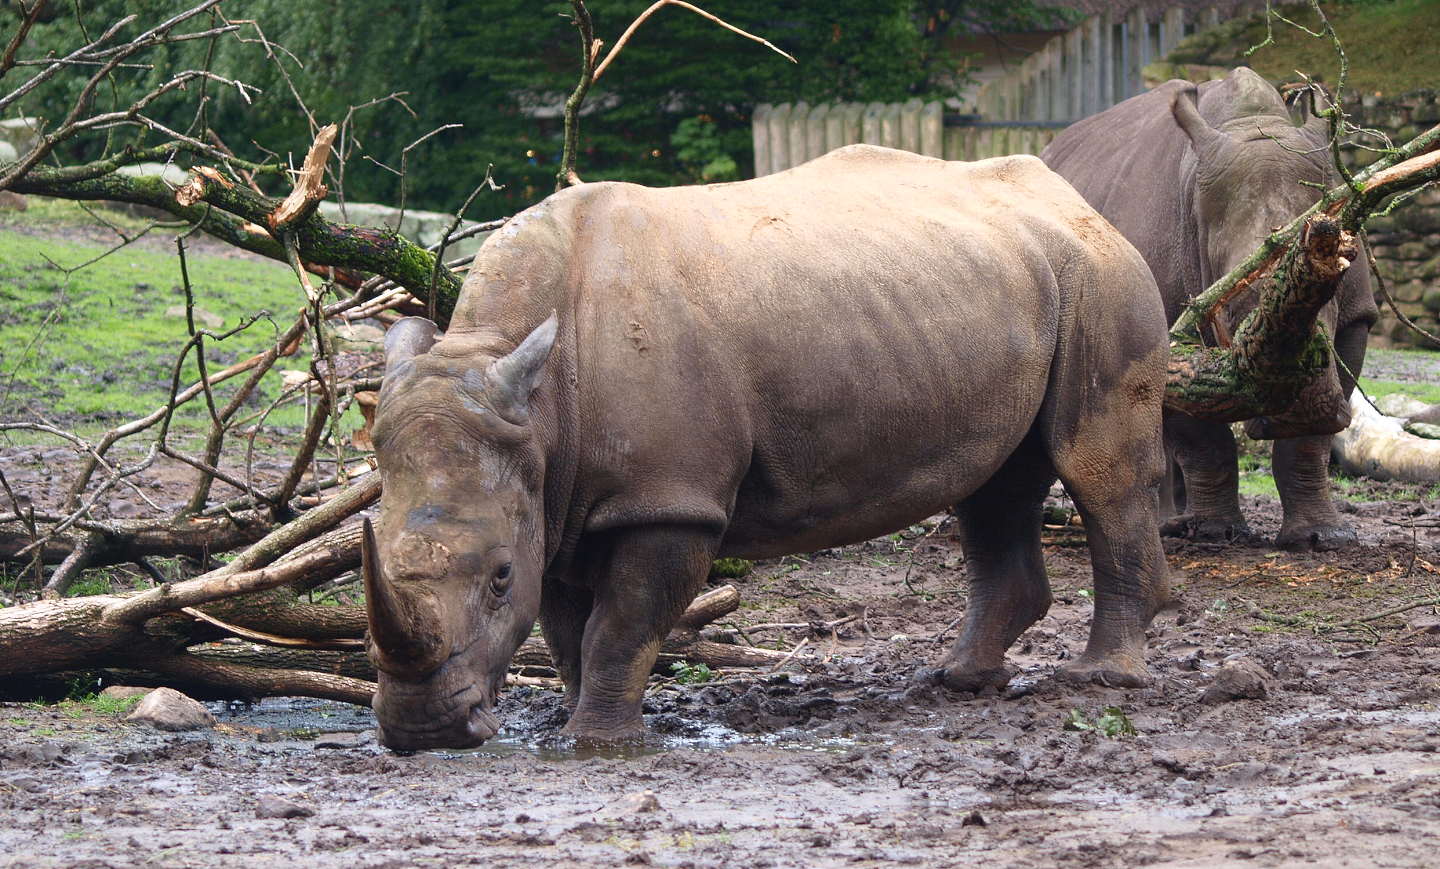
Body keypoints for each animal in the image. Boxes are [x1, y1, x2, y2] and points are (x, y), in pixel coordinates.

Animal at [362, 145, 1171, 750]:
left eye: (498, 578)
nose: (422, 729)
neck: (535, 399)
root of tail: (1076, 199)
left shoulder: (669, 499)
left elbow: (619, 626)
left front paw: (599, 744)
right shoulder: (557, 501)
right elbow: (565, 631)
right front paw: (573, 726)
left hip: (1100, 276)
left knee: (1095, 468)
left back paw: (1102, 680)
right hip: (1004, 286)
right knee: (995, 484)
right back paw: (959, 682)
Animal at [1042, 67, 1378, 550]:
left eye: (1332, 294)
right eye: (1232, 316)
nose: (1301, 408)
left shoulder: (1356, 316)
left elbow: (1309, 443)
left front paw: (1322, 538)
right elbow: (1201, 437)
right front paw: (1218, 534)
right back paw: (1170, 526)